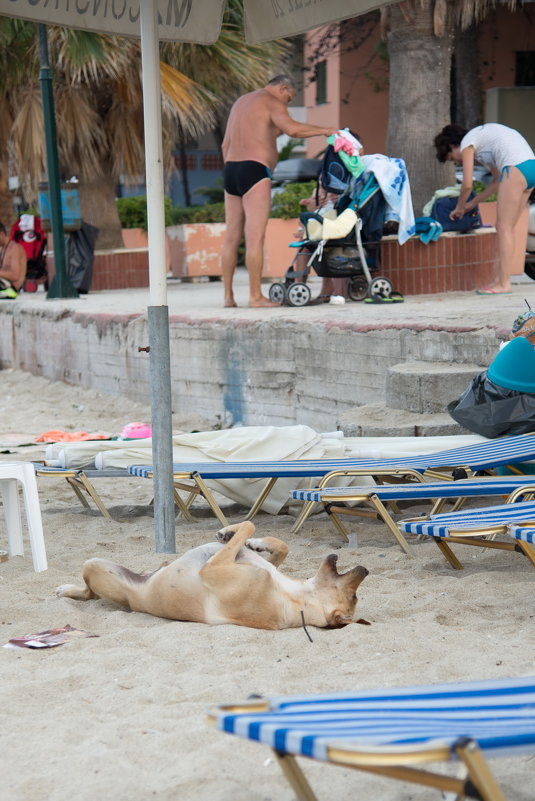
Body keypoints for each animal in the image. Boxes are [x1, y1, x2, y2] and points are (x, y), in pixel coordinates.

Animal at [57, 520, 368, 632]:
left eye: (353, 596)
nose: (365, 569)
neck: (293, 598)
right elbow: (279, 546)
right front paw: (243, 537)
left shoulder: (214, 568)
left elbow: (250, 524)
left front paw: (232, 532)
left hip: (96, 566)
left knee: (90, 592)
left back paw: (67, 591)